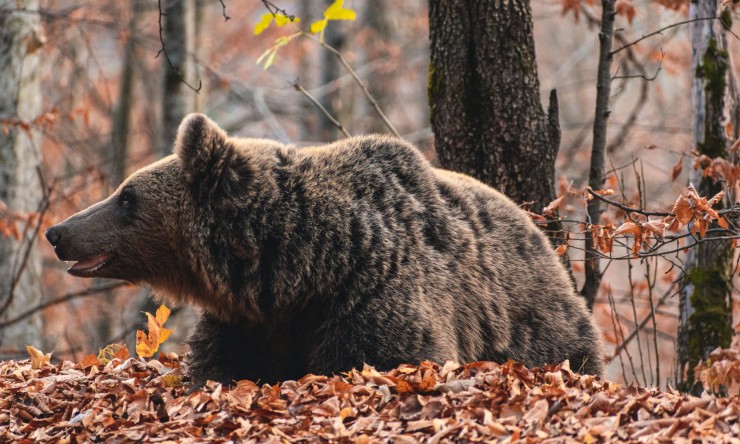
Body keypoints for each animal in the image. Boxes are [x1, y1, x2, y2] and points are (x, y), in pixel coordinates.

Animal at [46, 113, 605, 385]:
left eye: (127, 197)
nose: (58, 232)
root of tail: (541, 235)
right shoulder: (252, 321)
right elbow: (222, 366)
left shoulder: (371, 293)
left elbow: (384, 355)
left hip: (532, 324)